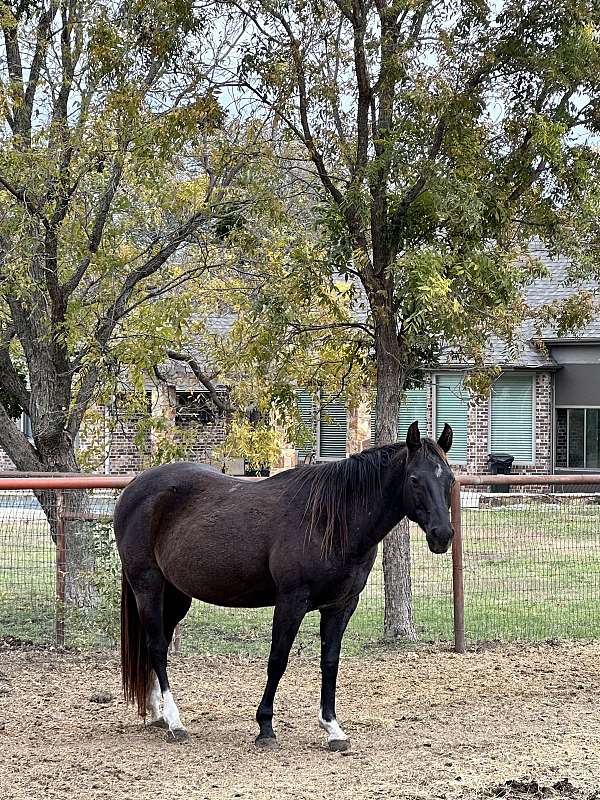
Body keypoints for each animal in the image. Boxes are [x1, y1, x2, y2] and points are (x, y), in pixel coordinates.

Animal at [113, 422, 454, 752]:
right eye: (414, 479)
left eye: (449, 478)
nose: (442, 535)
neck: (330, 520)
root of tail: (134, 487)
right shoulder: (291, 601)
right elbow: (277, 660)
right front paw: (265, 727)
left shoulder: (341, 605)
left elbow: (330, 662)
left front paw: (333, 729)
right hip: (148, 585)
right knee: (157, 646)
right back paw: (175, 721)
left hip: (176, 595)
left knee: (155, 644)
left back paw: (157, 713)